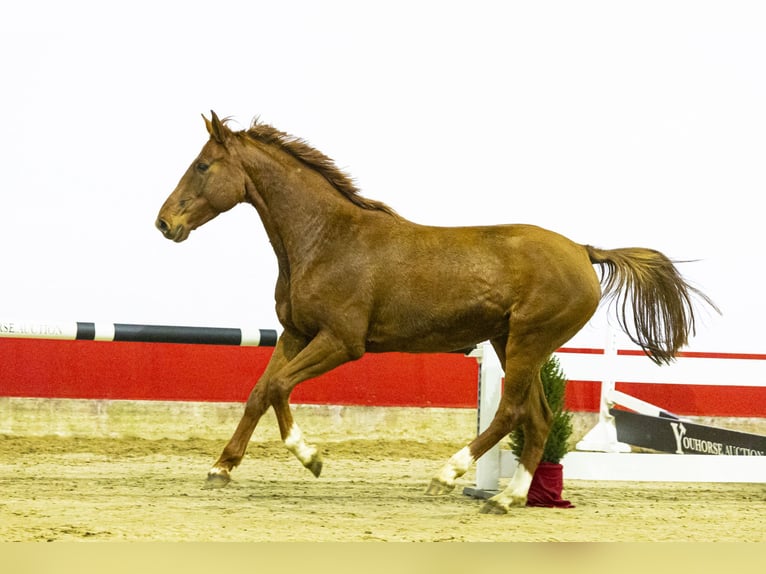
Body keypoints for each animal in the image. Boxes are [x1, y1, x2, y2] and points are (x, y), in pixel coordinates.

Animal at [156, 111, 718, 514]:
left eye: (202, 165)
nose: (164, 223)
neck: (326, 239)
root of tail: (583, 251)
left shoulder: (341, 341)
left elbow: (276, 387)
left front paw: (310, 458)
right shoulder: (295, 333)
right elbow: (258, 393)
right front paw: (220, 470)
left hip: (528, 342)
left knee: (513, 412)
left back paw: (449, 476)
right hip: (510, 342)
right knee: (537, 418)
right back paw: (506, 498)